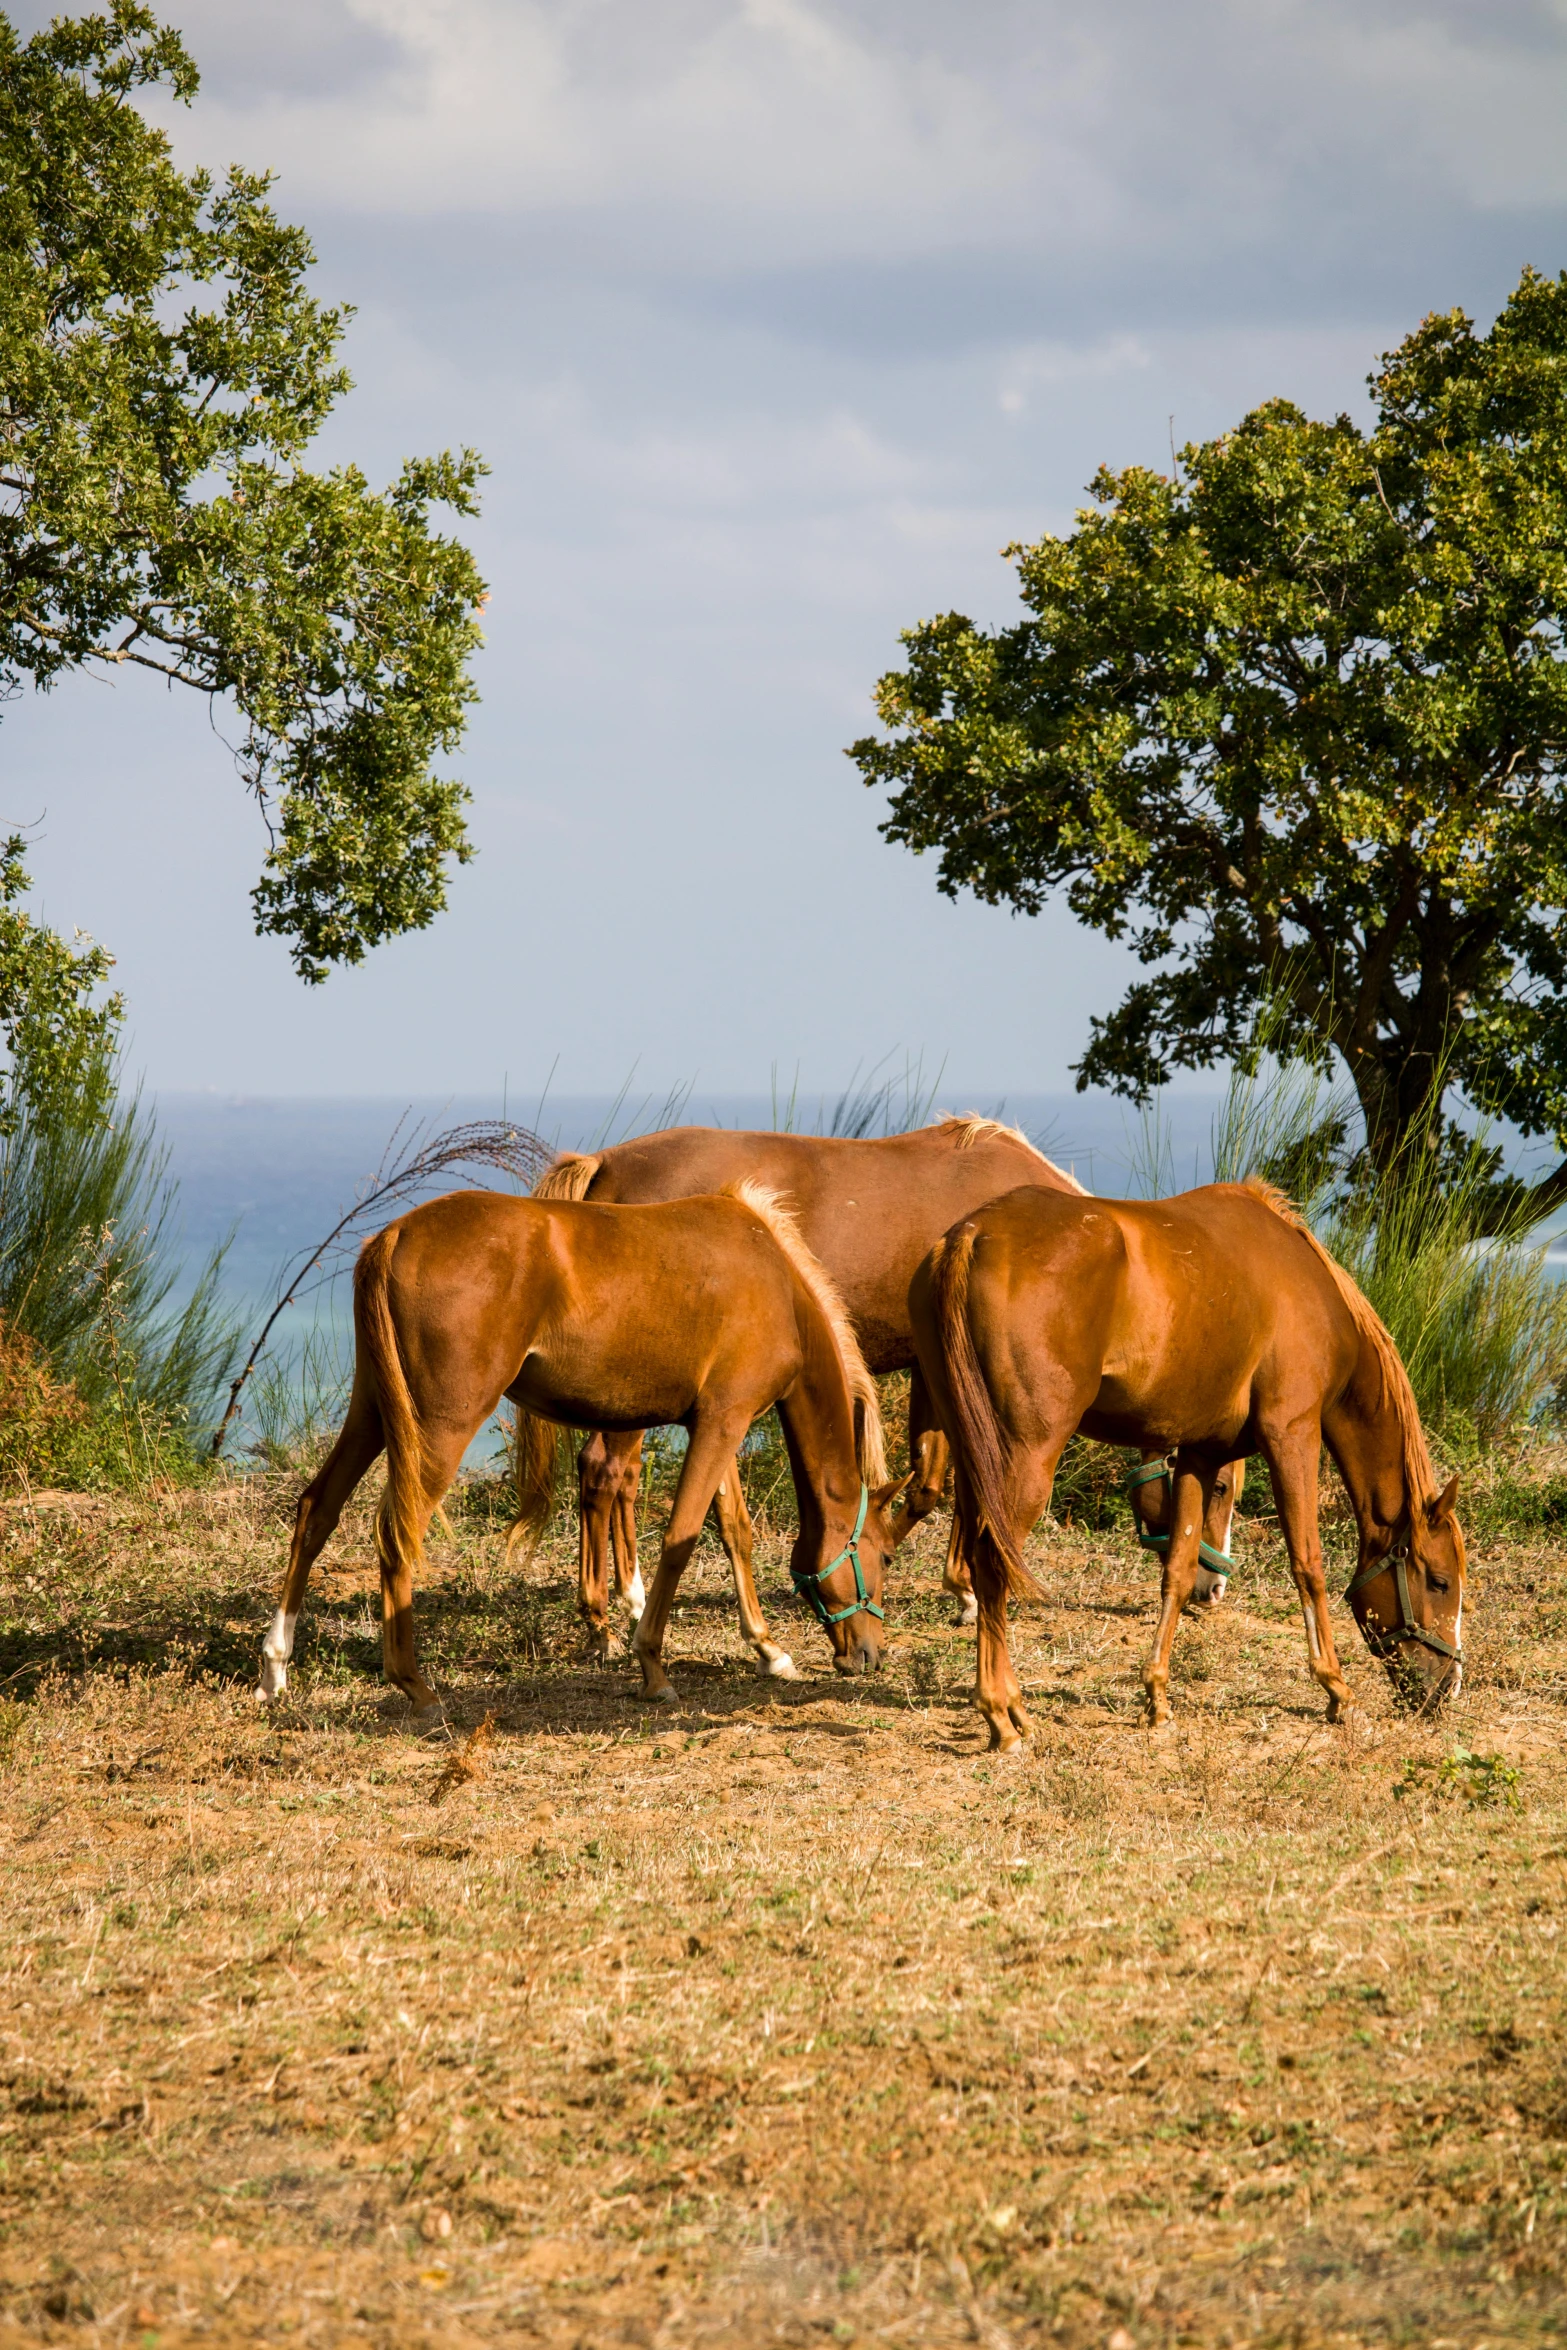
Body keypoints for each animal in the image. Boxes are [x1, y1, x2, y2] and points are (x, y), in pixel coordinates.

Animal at [258, 1184, 906, 1720]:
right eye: (884, 1556)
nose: (870, 1654)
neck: (777, 1284)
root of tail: (394, 1236)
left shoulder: (718, 1422)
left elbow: (733, 1530)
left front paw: (768, 1649)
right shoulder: (725, 1422)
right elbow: (680, 1540)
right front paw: (652, 1668)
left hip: (371, 1411)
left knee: (317, 1510)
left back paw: (275, 1666)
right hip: (439, 1428)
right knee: (397, 1534)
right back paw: (414, 1686)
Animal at [533, 1123, 1240, 1654]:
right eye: (1222, 1489)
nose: (1213, 1588)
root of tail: (604, 1163)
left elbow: (945, 1480)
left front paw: (953, 1580)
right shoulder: (947, 1372)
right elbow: (939, 1485)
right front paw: (944, 1578)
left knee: (615, 1478)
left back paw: (623, 1601)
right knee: (604, 1473)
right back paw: (608, 1616)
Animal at [911, 1184, 1465, 1757]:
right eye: (1440, 1582)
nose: (1447, 1687)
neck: (1309, 1290)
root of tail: (973, 1235)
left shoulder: (1202, 1454)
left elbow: (1177, 1571)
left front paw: (1157, 1695)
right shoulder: (1293, 1435)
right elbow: (1308, 1567)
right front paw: (1337, 1690)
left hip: (974, 1456)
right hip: (1024, 1460)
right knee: (992, 1567)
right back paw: (1003, 1713)